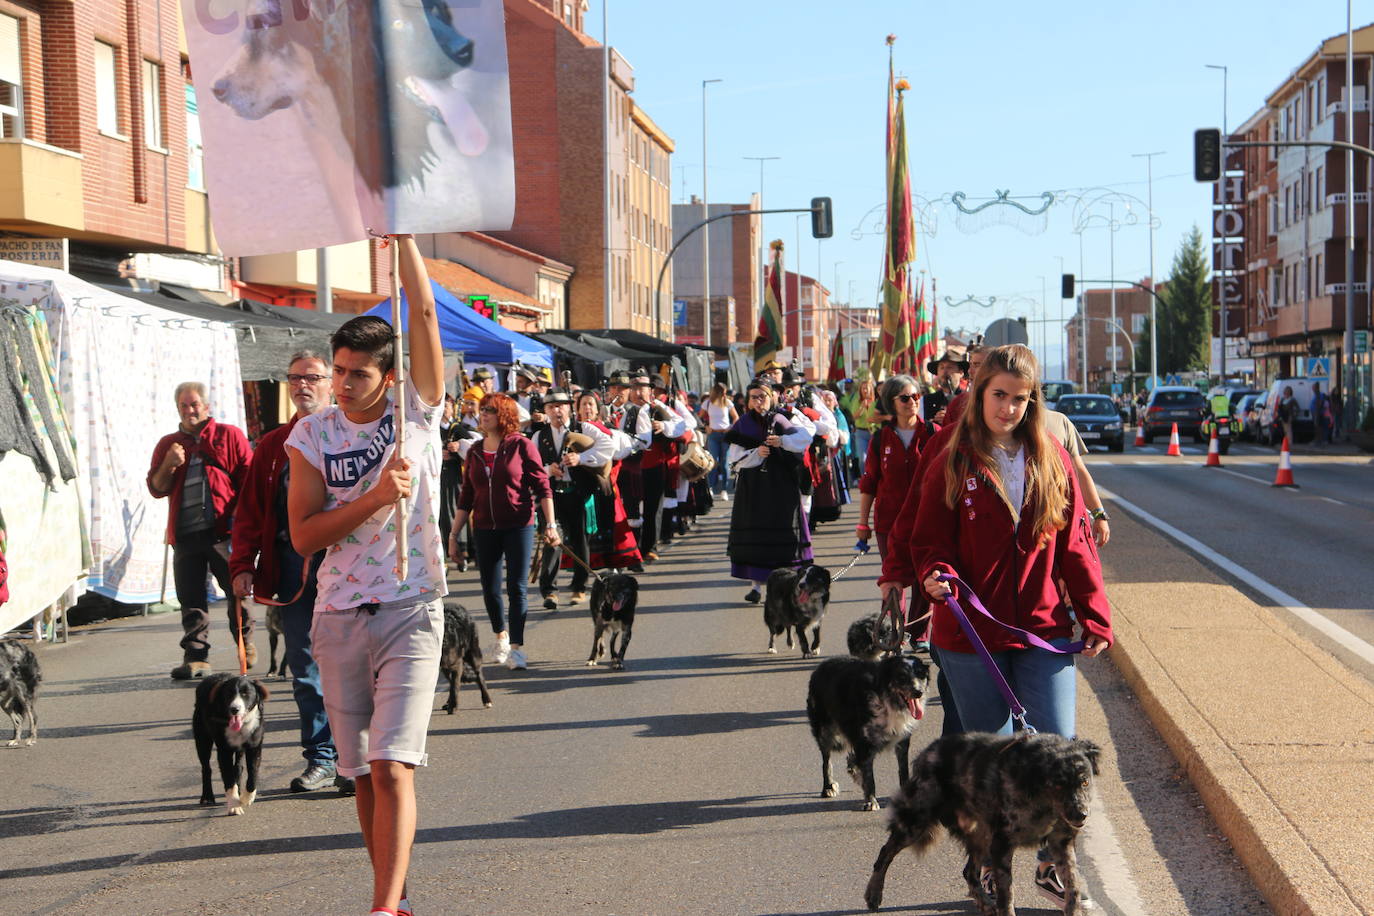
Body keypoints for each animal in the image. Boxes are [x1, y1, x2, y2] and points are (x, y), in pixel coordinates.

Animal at [192, 672, 269, 818]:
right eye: (229, 693)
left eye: (246, 693)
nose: (234, 709)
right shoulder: (224, 750)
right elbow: (228, 779)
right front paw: (234, 806)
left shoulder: (254, 746)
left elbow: (253, 774)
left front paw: (246, 798)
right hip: (202, 738)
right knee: (206, 768)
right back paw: (207, 797)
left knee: (238, 767)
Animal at [802, 656, 928, 813]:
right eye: (902, 676)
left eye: (921, 674)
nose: (919, 692)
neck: (888, 702)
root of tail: (821, 666)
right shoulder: (864, 743)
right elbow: (869, 777)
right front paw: (871, 801)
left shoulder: (902, 742)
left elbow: (903, 771)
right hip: (825, 732)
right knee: (826, 762)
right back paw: (828, 787)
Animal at [862, 730, 1099, 916]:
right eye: (1058, 785)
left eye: (1085, 782)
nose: (1081, 815)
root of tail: (927, 752)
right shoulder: (1002, 843)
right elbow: (1007, 895)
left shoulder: (1061, 842)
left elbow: (1073, 886)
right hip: (916, 821)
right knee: (885, 853)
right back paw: (873, 894)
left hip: (981, 834)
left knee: (969, 872)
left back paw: (985, 904)